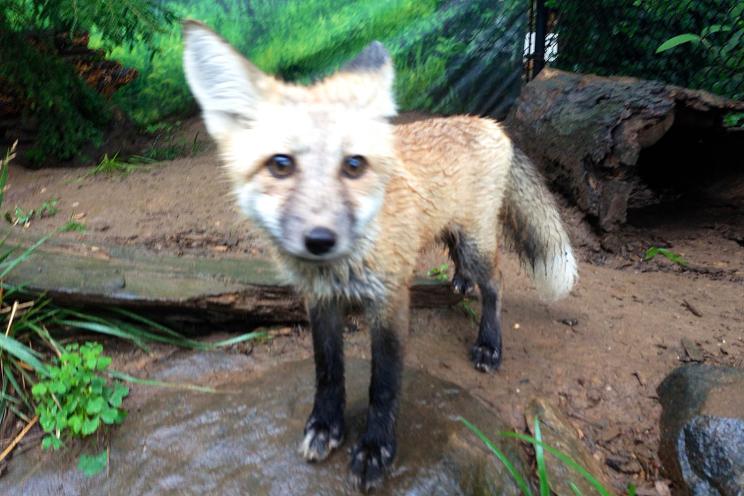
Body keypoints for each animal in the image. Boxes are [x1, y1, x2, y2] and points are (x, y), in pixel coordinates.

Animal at [183, 20, 580, 492]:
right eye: (280, 164)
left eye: (354, 165)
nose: (321, 239)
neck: (340, 271)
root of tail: (488, 122)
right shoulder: (320, 302)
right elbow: (328, 370)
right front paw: (325, 425)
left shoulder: (390, 300)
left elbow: (383, 385)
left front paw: (375, 449)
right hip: (452, 231)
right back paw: (459, 284)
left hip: (477, 243)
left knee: (495, 285)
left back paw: (489, 343)